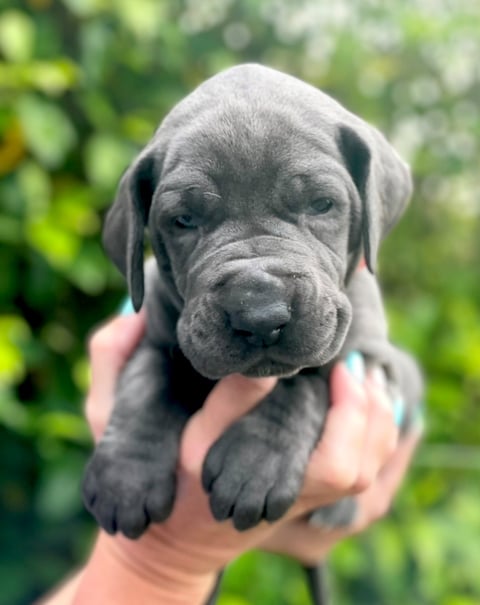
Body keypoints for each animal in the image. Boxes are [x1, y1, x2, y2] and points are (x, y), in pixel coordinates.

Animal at [84, 61, 422, 596]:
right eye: (183, 220)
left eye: (322, 204)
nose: (259, 313)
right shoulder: (156, 334)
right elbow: (146, 385)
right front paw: (126, 476)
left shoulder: (367, 358)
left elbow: (309, 382)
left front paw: (255, 463)